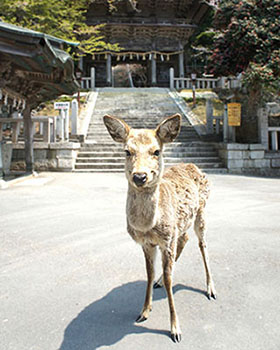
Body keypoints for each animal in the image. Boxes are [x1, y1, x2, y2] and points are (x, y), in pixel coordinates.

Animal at [103, 113, 217, 344]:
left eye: (156, 151)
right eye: (127, 151)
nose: (140, 176)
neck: (149, 227)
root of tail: (194, 165)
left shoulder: (166, 240)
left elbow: (169, 277)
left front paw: (175, 329)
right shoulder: (147, 243)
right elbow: (150, 273)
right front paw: (144, 311)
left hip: (201, 211)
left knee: (202, 244)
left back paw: (211, 288)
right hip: (181, 224)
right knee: (184, 240)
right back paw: (159, 283)